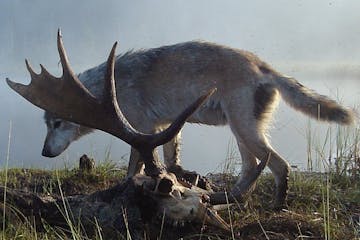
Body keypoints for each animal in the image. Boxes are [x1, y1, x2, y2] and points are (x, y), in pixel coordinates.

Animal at [40, 40, 352, 207]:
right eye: (47, 124)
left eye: (57, 124)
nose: (44, 152)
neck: (104, 91)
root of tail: (264, 67)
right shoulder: (164, 127)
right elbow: (171, 160)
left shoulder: (140, 130)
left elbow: (134, 167)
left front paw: (128, 187)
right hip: (241, 133)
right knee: (253, 168)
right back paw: (228, 198)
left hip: (245, 131)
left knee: (279, 166)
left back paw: (275, 207)